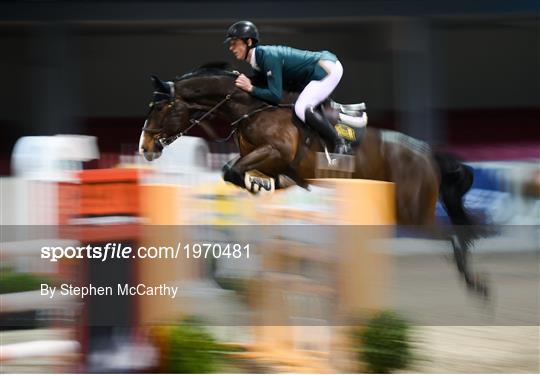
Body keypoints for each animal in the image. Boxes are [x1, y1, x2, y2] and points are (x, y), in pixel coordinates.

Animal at [139, 65, 490, 300]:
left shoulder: (274, 152)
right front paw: (259, 187)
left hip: (412, 213)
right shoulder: (272, 164)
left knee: (452, 236)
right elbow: (236, 173)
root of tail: (426, 153)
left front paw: (254, 186)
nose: (145, 148)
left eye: (160, 107)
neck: (251, 107)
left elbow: (231, 170)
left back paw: (477, 285)